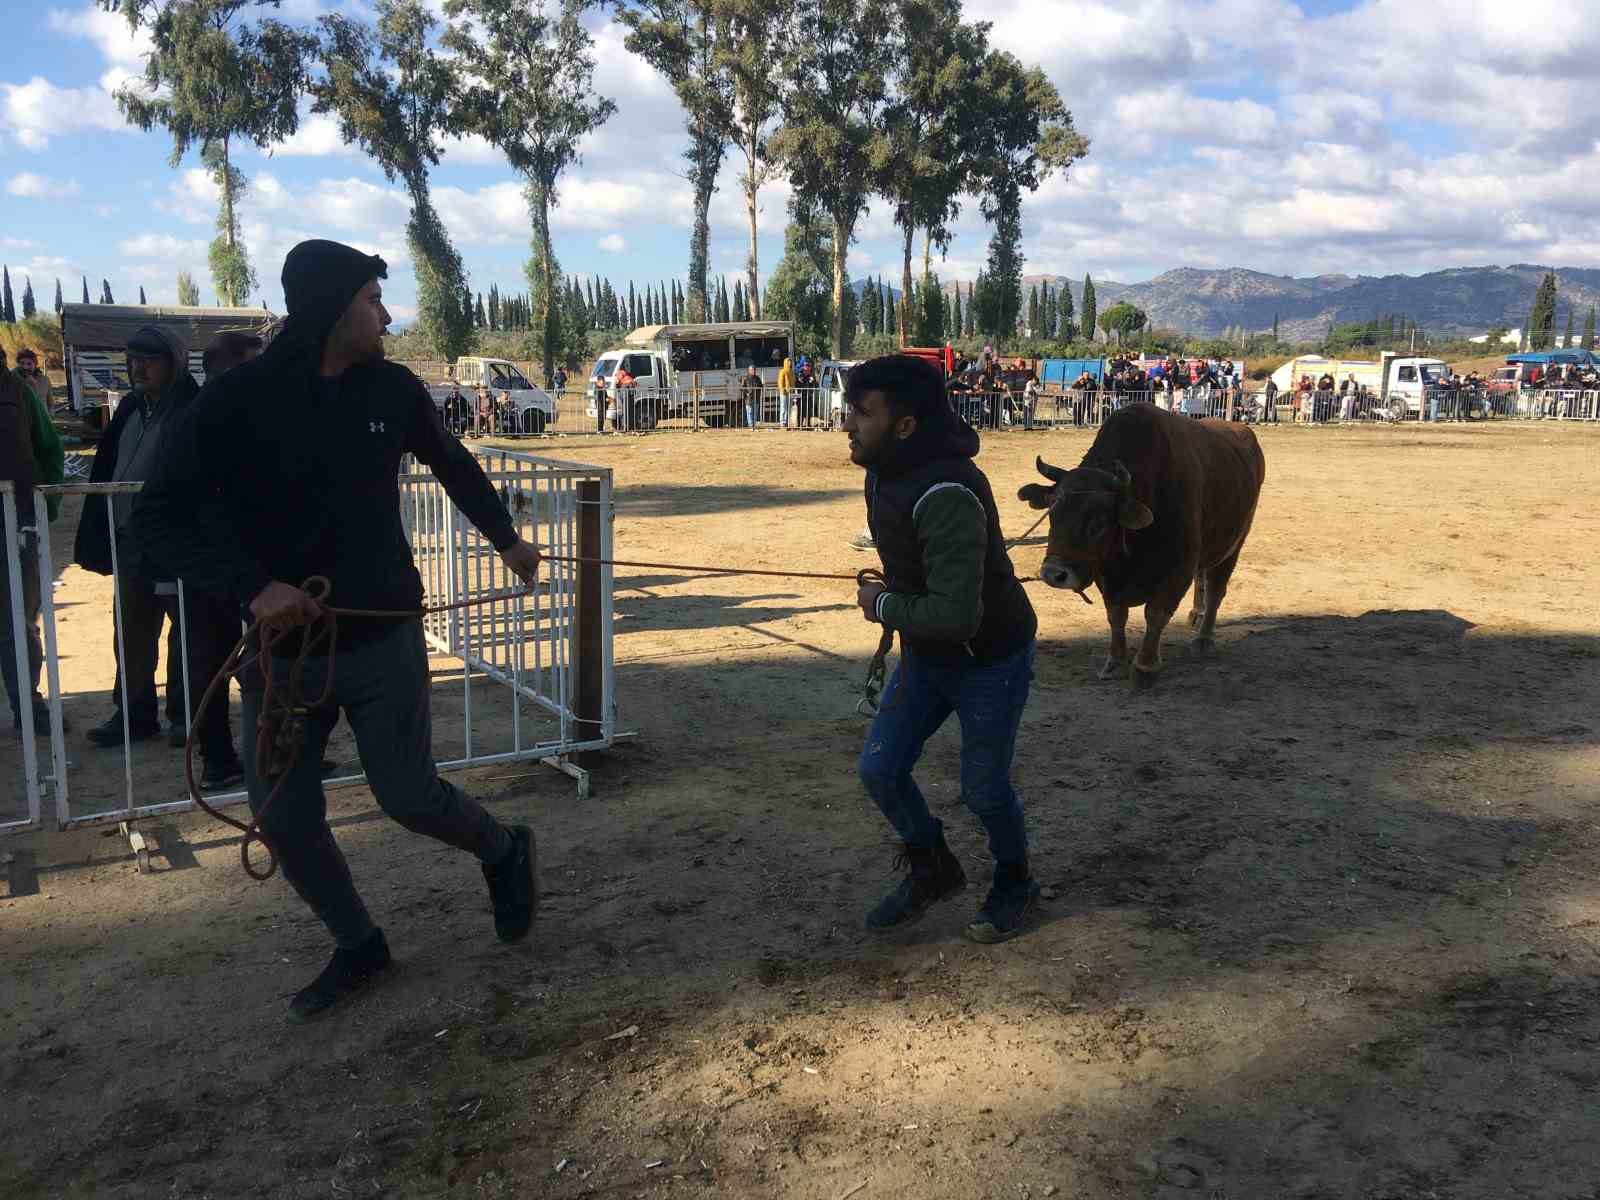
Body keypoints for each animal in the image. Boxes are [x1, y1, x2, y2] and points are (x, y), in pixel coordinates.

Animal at [1017, 404, 1267, 684]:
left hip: (1234, 543)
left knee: (1215, 588)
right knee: (1202, 578)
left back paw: (1204, 637)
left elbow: (1156, 614)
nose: (1053, 573)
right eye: (1052, 511)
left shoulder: (1179, 567)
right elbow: (1116, 615)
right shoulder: (1107, 574)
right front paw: (1115, 661)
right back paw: (1196, 613)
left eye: (1100, 522)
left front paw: (1145, 665)